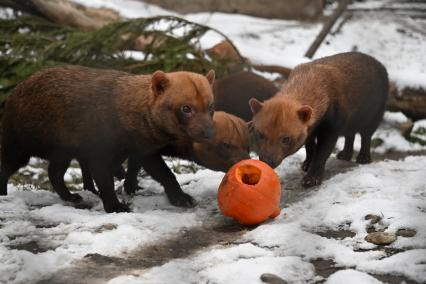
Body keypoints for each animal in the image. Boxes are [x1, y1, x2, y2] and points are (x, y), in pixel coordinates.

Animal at [1, 63, 216, 211]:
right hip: (19, 148)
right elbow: (106, 182)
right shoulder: (99, 154)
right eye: (186, 108)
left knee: (54, 173)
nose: (209, 133)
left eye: (210, 106)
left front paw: (180, 198)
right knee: (6, 168)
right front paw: (115, 207)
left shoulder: (144, 152)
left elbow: (166, 174)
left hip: (63, 151)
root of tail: (14, 91)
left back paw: (71, 197)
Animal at [250, 52, 390, 187]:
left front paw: (311, 179)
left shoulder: (332, 128)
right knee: (350, 135)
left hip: (375, 115)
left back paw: (363, 158)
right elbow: (310, 147)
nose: (267, 161)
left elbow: (322, 153)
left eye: (286, 139)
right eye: (260, 134)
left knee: (366, 136)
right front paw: (306, 164)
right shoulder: (310, 130)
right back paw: (345, 154)